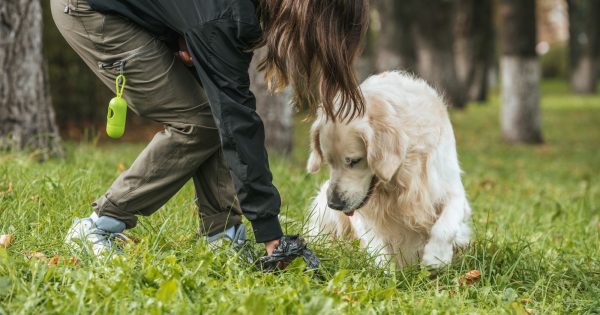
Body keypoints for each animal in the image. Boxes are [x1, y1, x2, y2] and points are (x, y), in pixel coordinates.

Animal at [308, 72, 472, 270]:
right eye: (329, 162)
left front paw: (436, 257)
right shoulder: (364, 212)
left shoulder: (451, 189)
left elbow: (445, 226)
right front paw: (383, 271)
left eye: (354, 161)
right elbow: (375, 243)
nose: (335, 204)